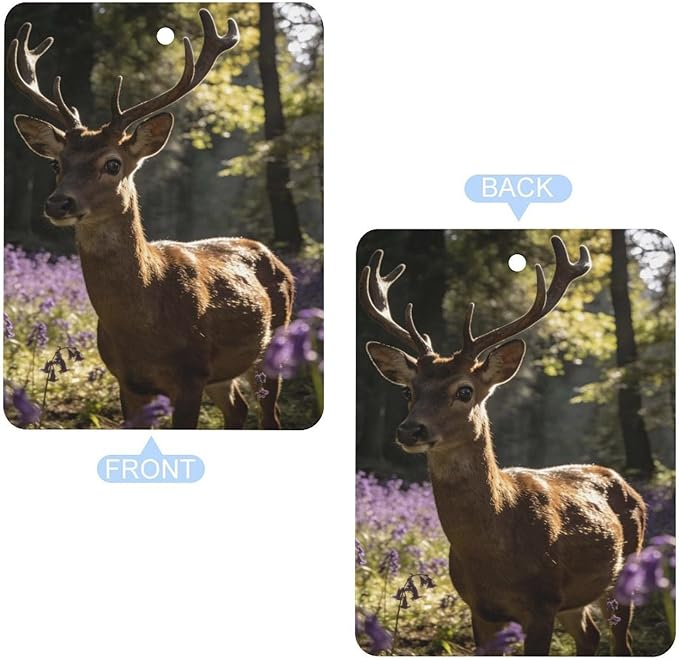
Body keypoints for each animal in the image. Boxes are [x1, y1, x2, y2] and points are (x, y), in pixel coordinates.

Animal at [7, 10, 295, 429]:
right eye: (57, 164)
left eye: (112, 164)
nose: (58, 203)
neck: (144, 325)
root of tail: (273, 256)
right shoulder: (128, 381)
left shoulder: (190, 375)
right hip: (223, 373)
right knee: (237, 409)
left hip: (276, 344)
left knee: (270, 416)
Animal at [360, 236, 647, 655]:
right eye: (408, 391)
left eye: (464, 391)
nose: (410, 430)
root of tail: (625, 484)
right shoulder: (480, 608)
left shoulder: (542, 603)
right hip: (574, 601)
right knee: (589, 635)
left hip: (627, 572)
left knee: (620, 641)